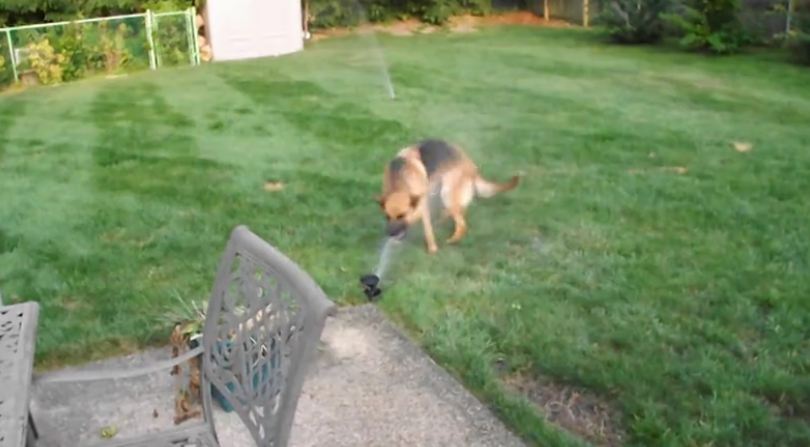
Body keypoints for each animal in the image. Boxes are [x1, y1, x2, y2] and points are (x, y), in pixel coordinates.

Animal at [378, 140, 520, 254]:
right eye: (386, 216)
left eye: (401, 215)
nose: (389, 234)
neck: (399, 180)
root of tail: (471, 165)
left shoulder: (422, 207)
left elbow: (427, 230)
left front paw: (432, 249)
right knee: (459, 212)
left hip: (447, 192)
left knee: (462, 224)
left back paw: (452, 239)